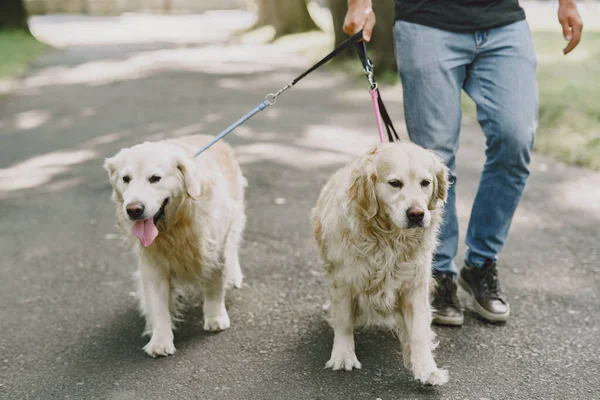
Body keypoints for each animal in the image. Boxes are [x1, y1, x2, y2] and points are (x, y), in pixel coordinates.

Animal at [103, 134, 246, 356]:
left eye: (155, 178)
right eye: (126, 179)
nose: (134, 209)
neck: (175, 226)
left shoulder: (214, 249)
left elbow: (214, 286)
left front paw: (215, 317)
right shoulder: (153, 264)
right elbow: (158, 305)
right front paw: (160, 340)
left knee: (233, 247)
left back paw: (235, 276)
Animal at [312, 141, 448, 384]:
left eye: (425, 183)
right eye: (395, 183)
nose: (417, 214)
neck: (388, 240)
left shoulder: (414, 282)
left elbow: (418, 331)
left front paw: (427, 368)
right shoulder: (343, 279)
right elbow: (344, 320)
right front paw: (343, 355)